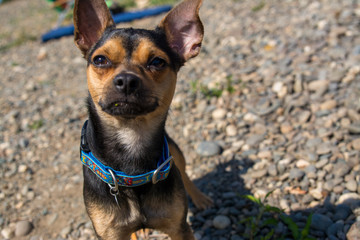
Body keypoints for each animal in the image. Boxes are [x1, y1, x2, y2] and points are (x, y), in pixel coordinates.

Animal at [74, 0, 214, 239]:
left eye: (157, 62)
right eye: (100, 60)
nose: (127, 80)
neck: (132, 136)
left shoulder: (180, 228)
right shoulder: (110, 233)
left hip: (175, 151)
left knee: (184, 172)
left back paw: (200, 198)